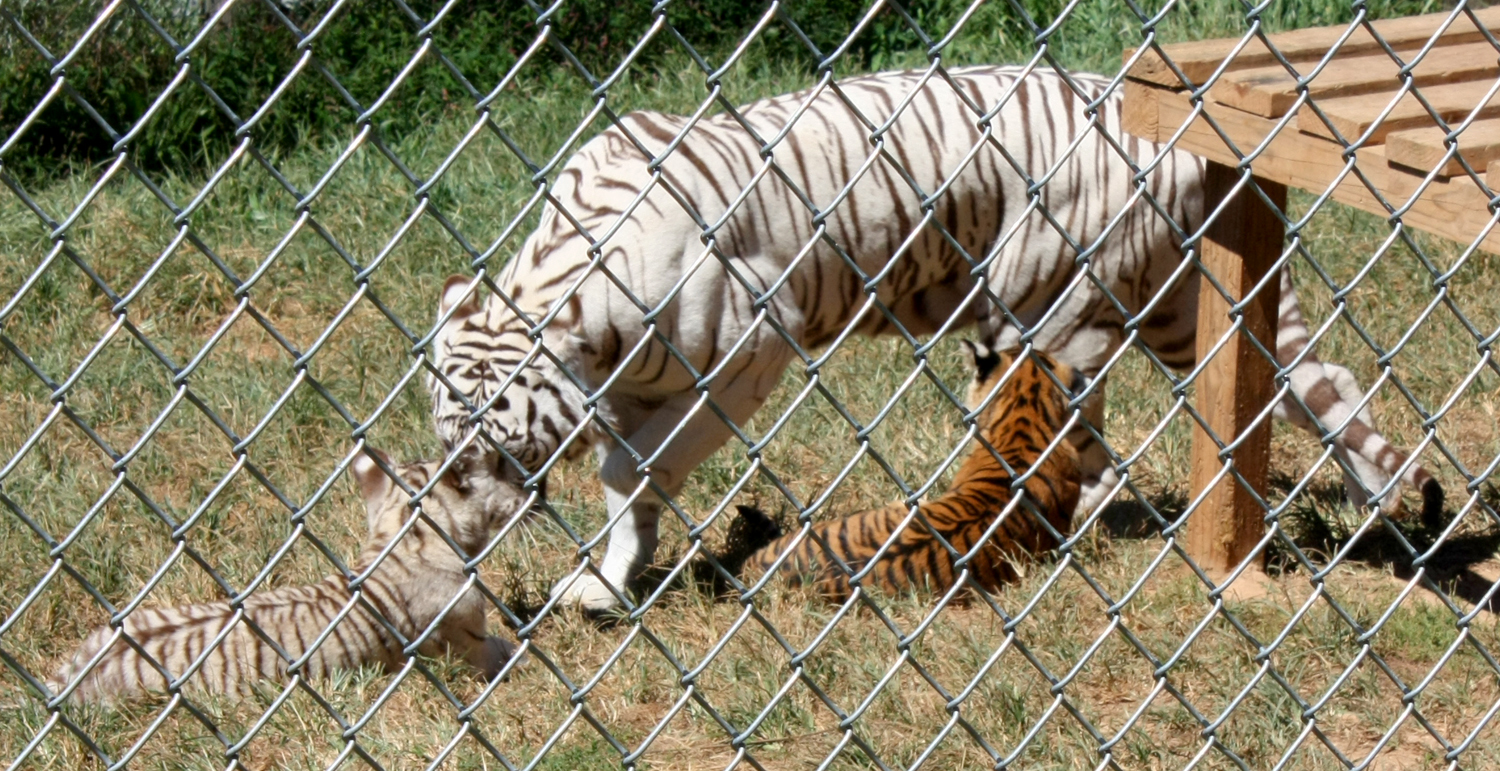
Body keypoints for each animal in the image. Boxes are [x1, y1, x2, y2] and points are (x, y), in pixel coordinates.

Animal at [432, 64, 1440, 606]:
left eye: (495, 451)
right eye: (445, 450)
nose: (464, 537)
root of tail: (1178, 130)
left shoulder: (751, 353)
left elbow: (629, 468)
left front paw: (608, 575)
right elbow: (628, 495)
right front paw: (612, 581)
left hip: (1050, 302)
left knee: (1074, 438)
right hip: (1182, 306)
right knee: (1312, 387)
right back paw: (1382, 501)